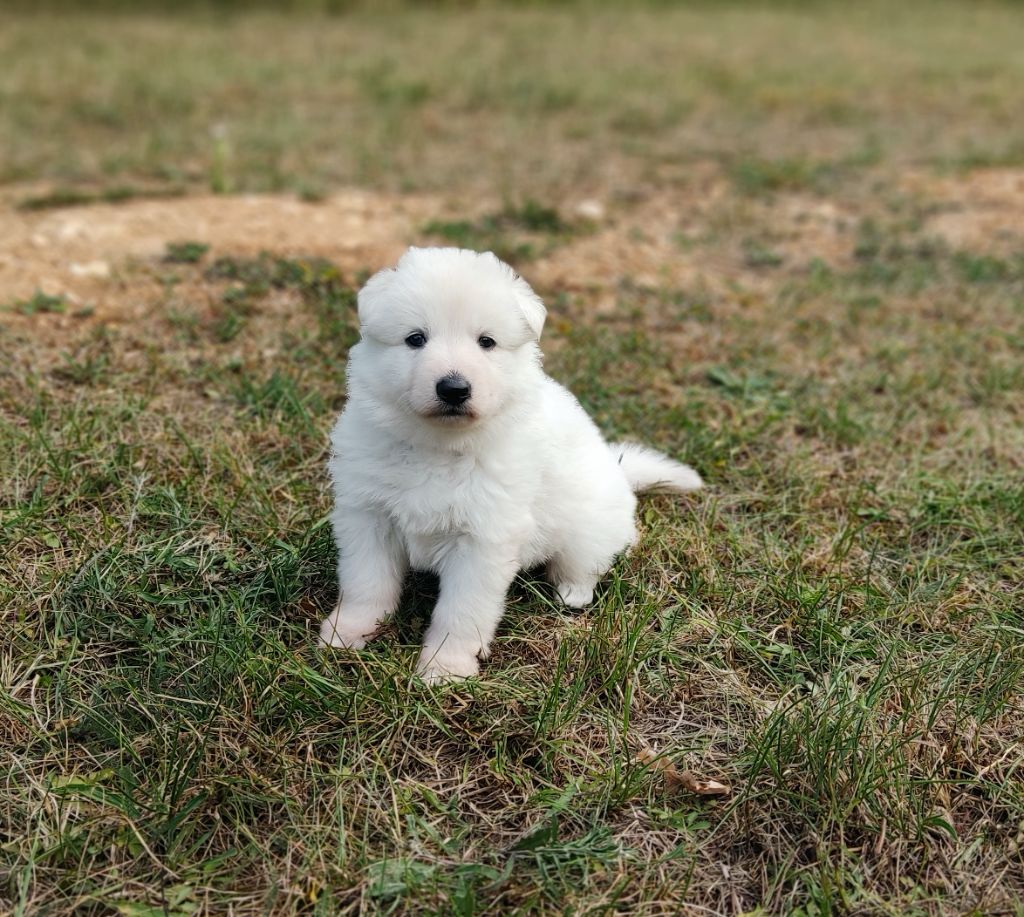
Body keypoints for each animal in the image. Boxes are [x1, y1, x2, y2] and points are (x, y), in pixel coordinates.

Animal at [319, 247, 702, 683]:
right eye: (415, 339)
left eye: (486, 342)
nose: (454, 388)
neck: (439, 447)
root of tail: (618, 471)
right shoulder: (369, 517)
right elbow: (366, 584)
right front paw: (348, 633)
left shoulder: (483, 539)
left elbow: (462, 611)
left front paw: (445, 668)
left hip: (588, 528)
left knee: (585, 564)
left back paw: (571, 593)